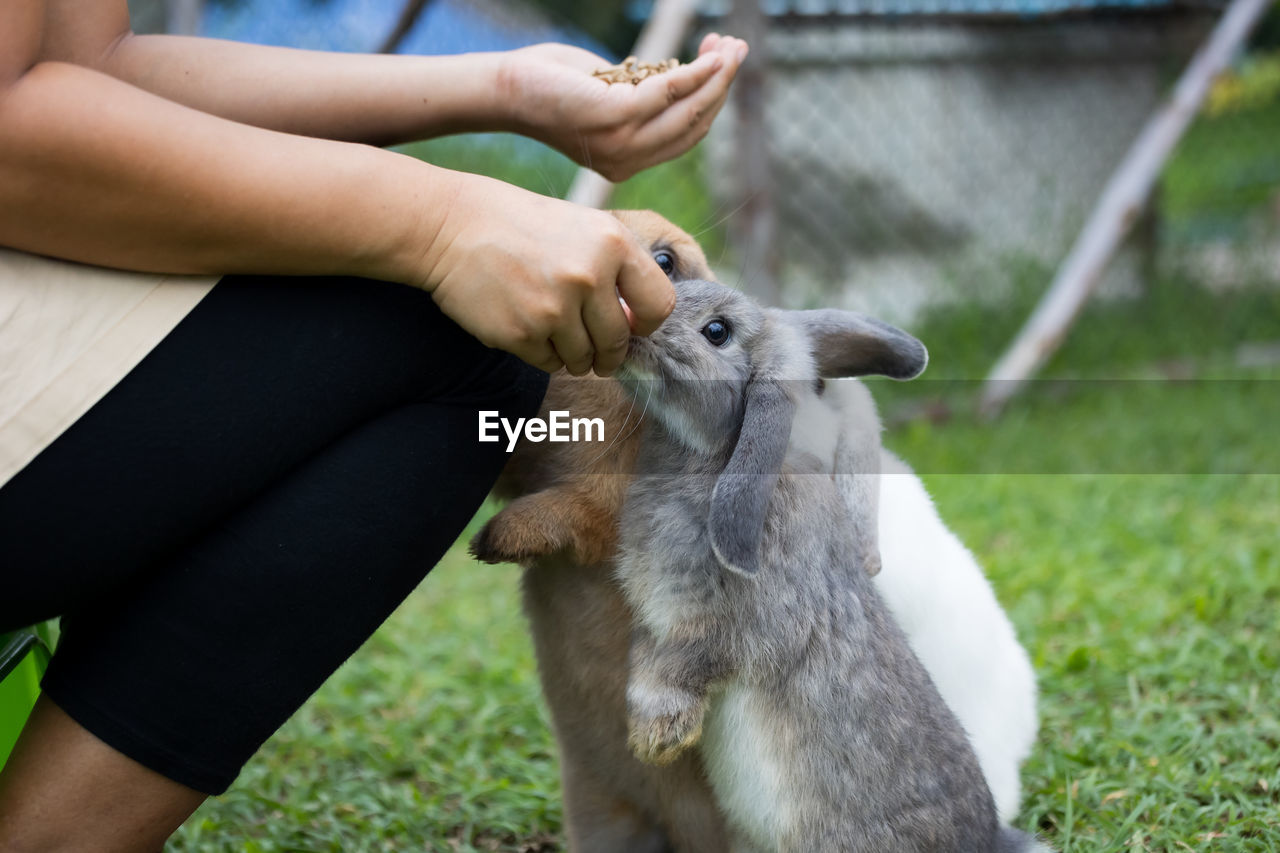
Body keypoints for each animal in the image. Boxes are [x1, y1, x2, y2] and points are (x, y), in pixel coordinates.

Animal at [614, 275, 1044, 845]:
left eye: (717, 331)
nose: (631, 315)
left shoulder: (729, 625)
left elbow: (684, 667)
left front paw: (659, 739)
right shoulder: (654, 620)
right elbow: (647, 662)